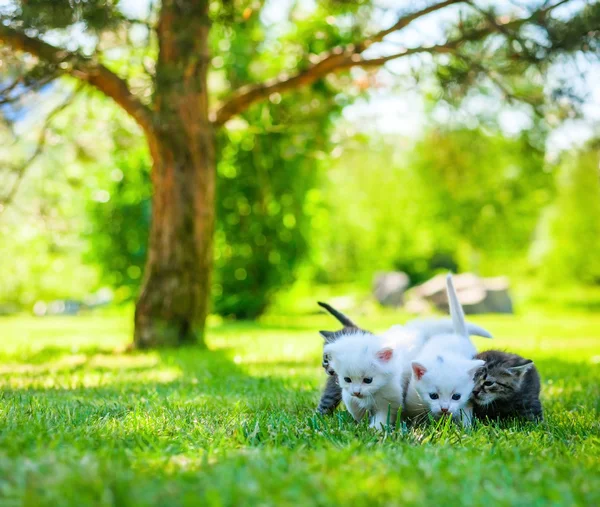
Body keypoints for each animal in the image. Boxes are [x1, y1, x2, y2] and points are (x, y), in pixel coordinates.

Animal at [404, 274, 488, 428]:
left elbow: (465, 414)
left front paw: (466, 428)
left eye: (456, 396)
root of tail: (458, 335)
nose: (444, 408)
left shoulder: (468, 399)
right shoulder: (412, 399)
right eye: (433, 396)